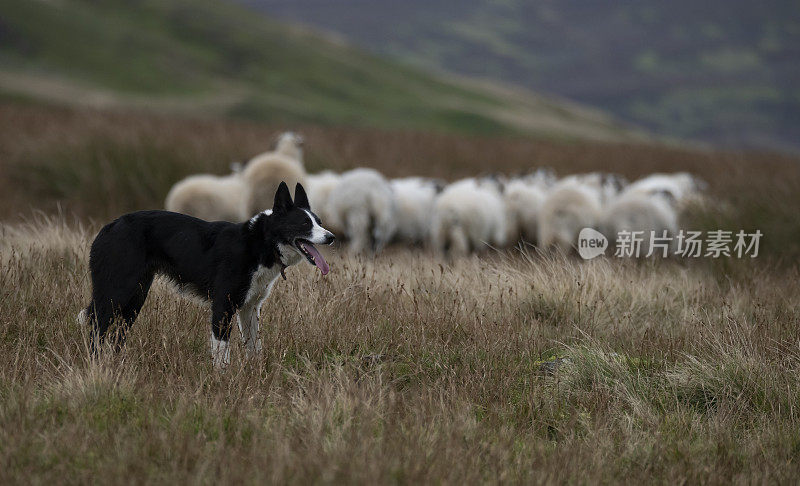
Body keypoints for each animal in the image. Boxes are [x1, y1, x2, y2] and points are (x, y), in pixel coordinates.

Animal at [79, 182, 334, 364]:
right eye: (304, 224)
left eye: (319, 222)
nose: (331, 237)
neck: (260, 243)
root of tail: (107, 228)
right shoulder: (223, 306)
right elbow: (222, 356)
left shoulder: (250, 309)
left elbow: (254, 349)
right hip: (116, 294)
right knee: (97, 331)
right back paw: (96, 367)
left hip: (134, 300)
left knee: (115, 336)